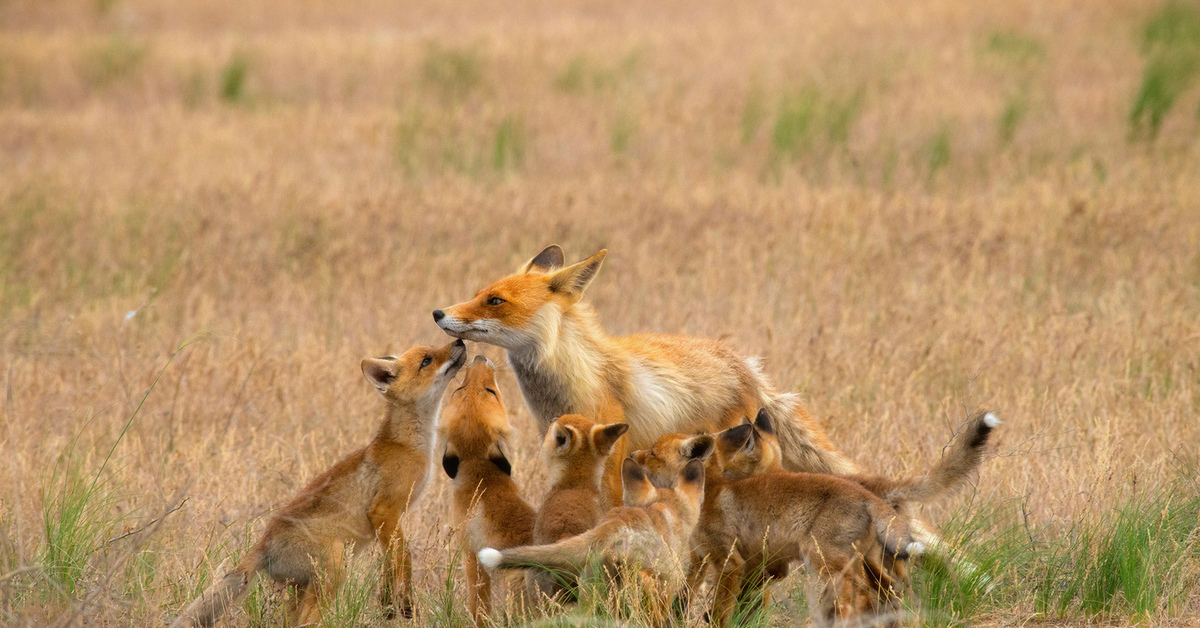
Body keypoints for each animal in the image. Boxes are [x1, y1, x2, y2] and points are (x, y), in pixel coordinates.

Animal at [168, 343, 463, 628]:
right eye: (427, 360)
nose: (459, 342)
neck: (406, 445)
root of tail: (263, 544)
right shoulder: (385, 511)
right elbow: (404, 561)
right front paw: (404, 603)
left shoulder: (391, 521)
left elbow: (392, 568)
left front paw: (391, 603)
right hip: (335, 570)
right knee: (307, 621)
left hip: (303, 588)